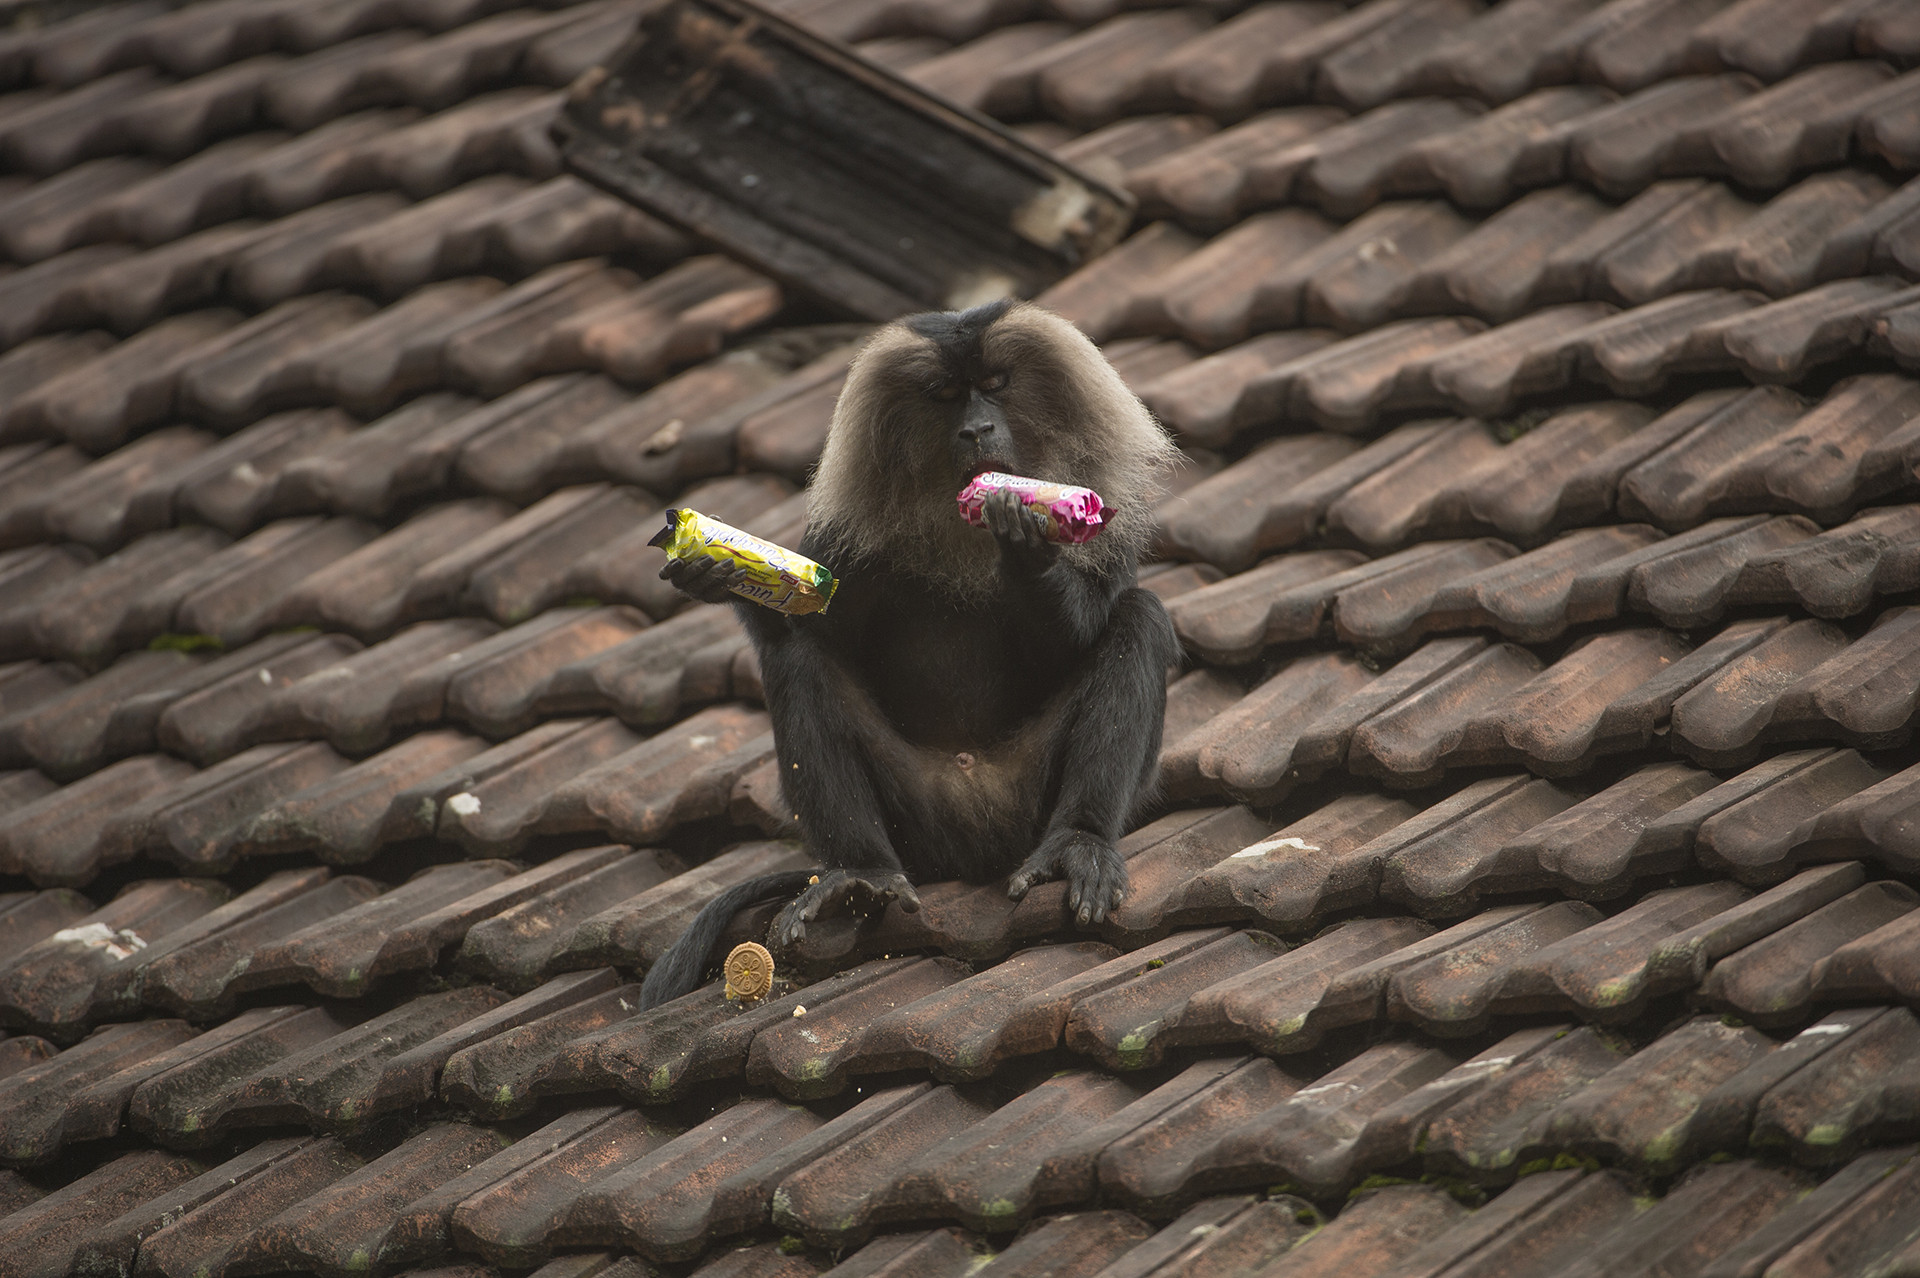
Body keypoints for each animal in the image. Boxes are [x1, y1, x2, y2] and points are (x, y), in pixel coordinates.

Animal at [639, 298, 1182, 1008]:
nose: (977, 430)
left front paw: (1027, 539)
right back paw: (859, 874)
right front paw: (720, 567)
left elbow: (1083, 629)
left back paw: (1078, 844)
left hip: (1027, 803)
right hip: (917, 822)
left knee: (1138, 620)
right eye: (947, 397)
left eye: (996, 386)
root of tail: (971, 857)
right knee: (798, 664)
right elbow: (819, 630)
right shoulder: (846, 542)